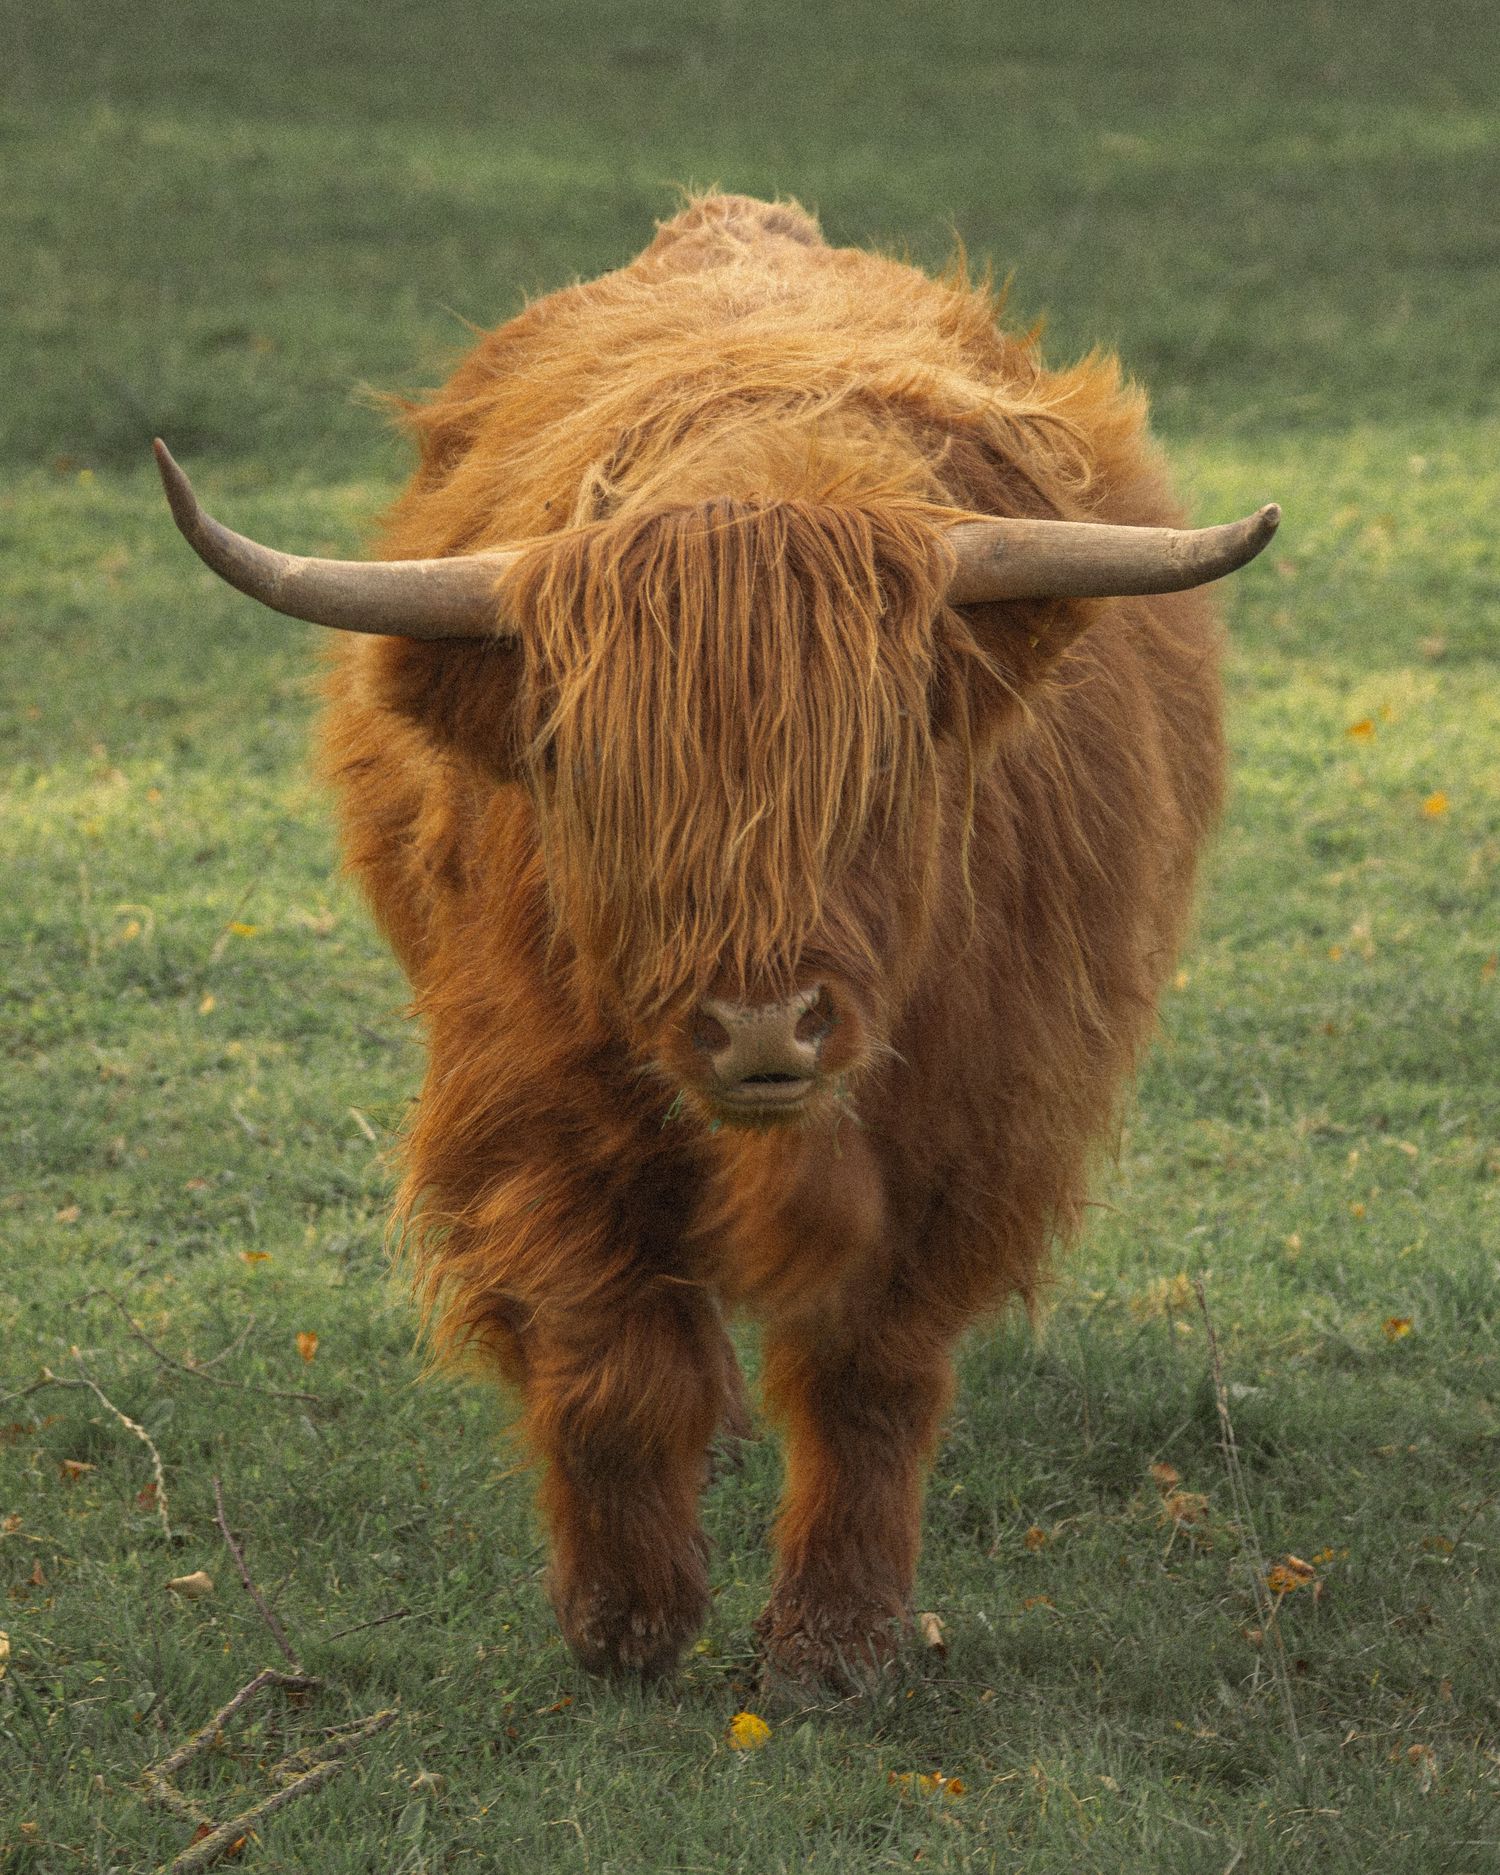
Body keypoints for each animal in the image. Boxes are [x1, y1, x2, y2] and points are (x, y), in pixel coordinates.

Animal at [155, 193, 1277, 1689]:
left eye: (880, 770)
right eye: (591, 773)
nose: (759, 1023)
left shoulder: (968, 1121)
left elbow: (870, 1370)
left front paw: (836, 1640)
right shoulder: (536, 1103)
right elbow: (613, 1356)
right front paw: (628, 1617)